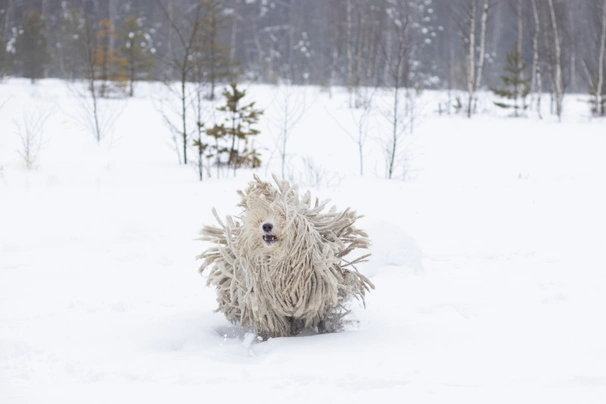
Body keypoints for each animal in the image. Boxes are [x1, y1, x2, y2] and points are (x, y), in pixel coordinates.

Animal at [197, 175, 376, 340]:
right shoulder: (265, 301)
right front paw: (276, 337)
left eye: (282, 217)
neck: (279, 262)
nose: (266, 226)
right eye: (261, 219)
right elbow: (273, 321)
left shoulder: (315, 296)